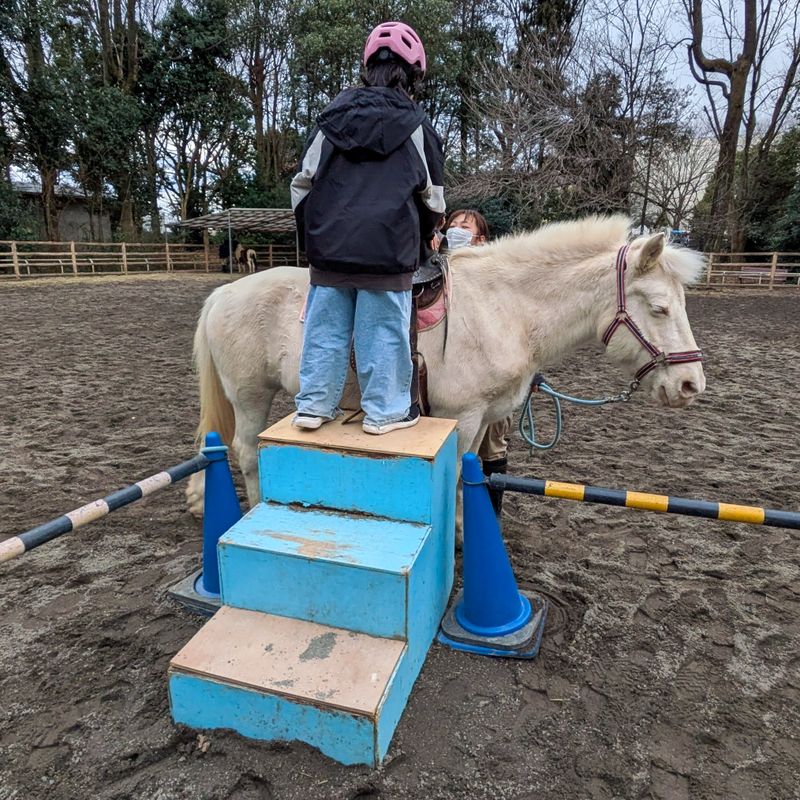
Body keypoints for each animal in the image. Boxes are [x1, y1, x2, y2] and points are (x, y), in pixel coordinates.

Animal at [185, 215, 706, 517]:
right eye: (659, 308)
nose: (690, 384)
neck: (504, 308)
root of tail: (223, 293)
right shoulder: (463, 415)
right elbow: (452, 476)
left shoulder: (480, 420)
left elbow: (469, 475)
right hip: (250, 395)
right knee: (246, 451)